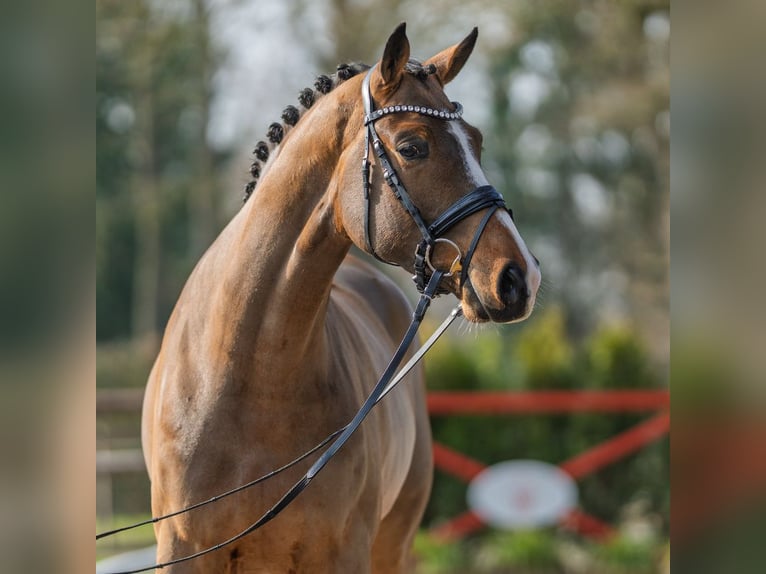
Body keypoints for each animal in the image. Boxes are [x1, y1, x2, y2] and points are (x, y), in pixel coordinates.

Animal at [141, 23, 540, 573]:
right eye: (412, 147)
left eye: (476, 142)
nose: (519, 278)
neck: (248, 375)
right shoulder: (182, 552)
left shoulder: (345, 550)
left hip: (393, 543)